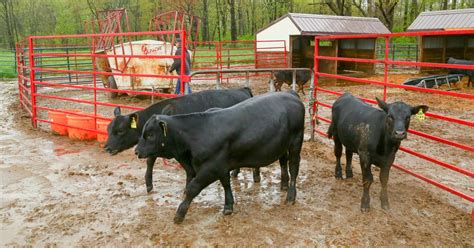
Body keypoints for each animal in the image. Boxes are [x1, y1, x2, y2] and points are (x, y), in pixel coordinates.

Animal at [103, 87, 252, 192]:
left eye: (120, 131)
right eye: (108, 129)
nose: (107, 148)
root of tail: (242, 90)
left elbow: (188, 169)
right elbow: (150, 161)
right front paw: (148, 184)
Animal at [134, 92, 304, 224]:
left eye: (150, 134)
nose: (136, 151)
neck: (198, 133)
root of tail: (291, 94)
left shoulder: (211, 168)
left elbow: (192, 188)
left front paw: (180, 213)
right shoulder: (221, 166)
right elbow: (226, 184)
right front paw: (228, 206)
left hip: (296, 143)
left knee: (294, 167)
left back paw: (290, 195)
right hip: (282, 146)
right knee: (283, 162)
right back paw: (283, 184)